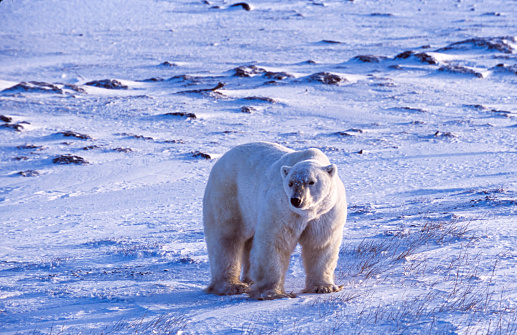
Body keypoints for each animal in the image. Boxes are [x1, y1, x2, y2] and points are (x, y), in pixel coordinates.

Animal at [202, 142, 346, 302]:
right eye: (290, 183)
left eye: (311, 182)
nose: (296, 200)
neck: (307, 213)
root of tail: (222, 158)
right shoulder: (281, 208)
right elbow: (275, 242)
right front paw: (272, 292)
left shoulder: (325, 214)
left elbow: (320, 244)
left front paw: (324, 287)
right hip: (229, 195)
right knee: (226, 238)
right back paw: (232, 286)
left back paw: (249, 280)